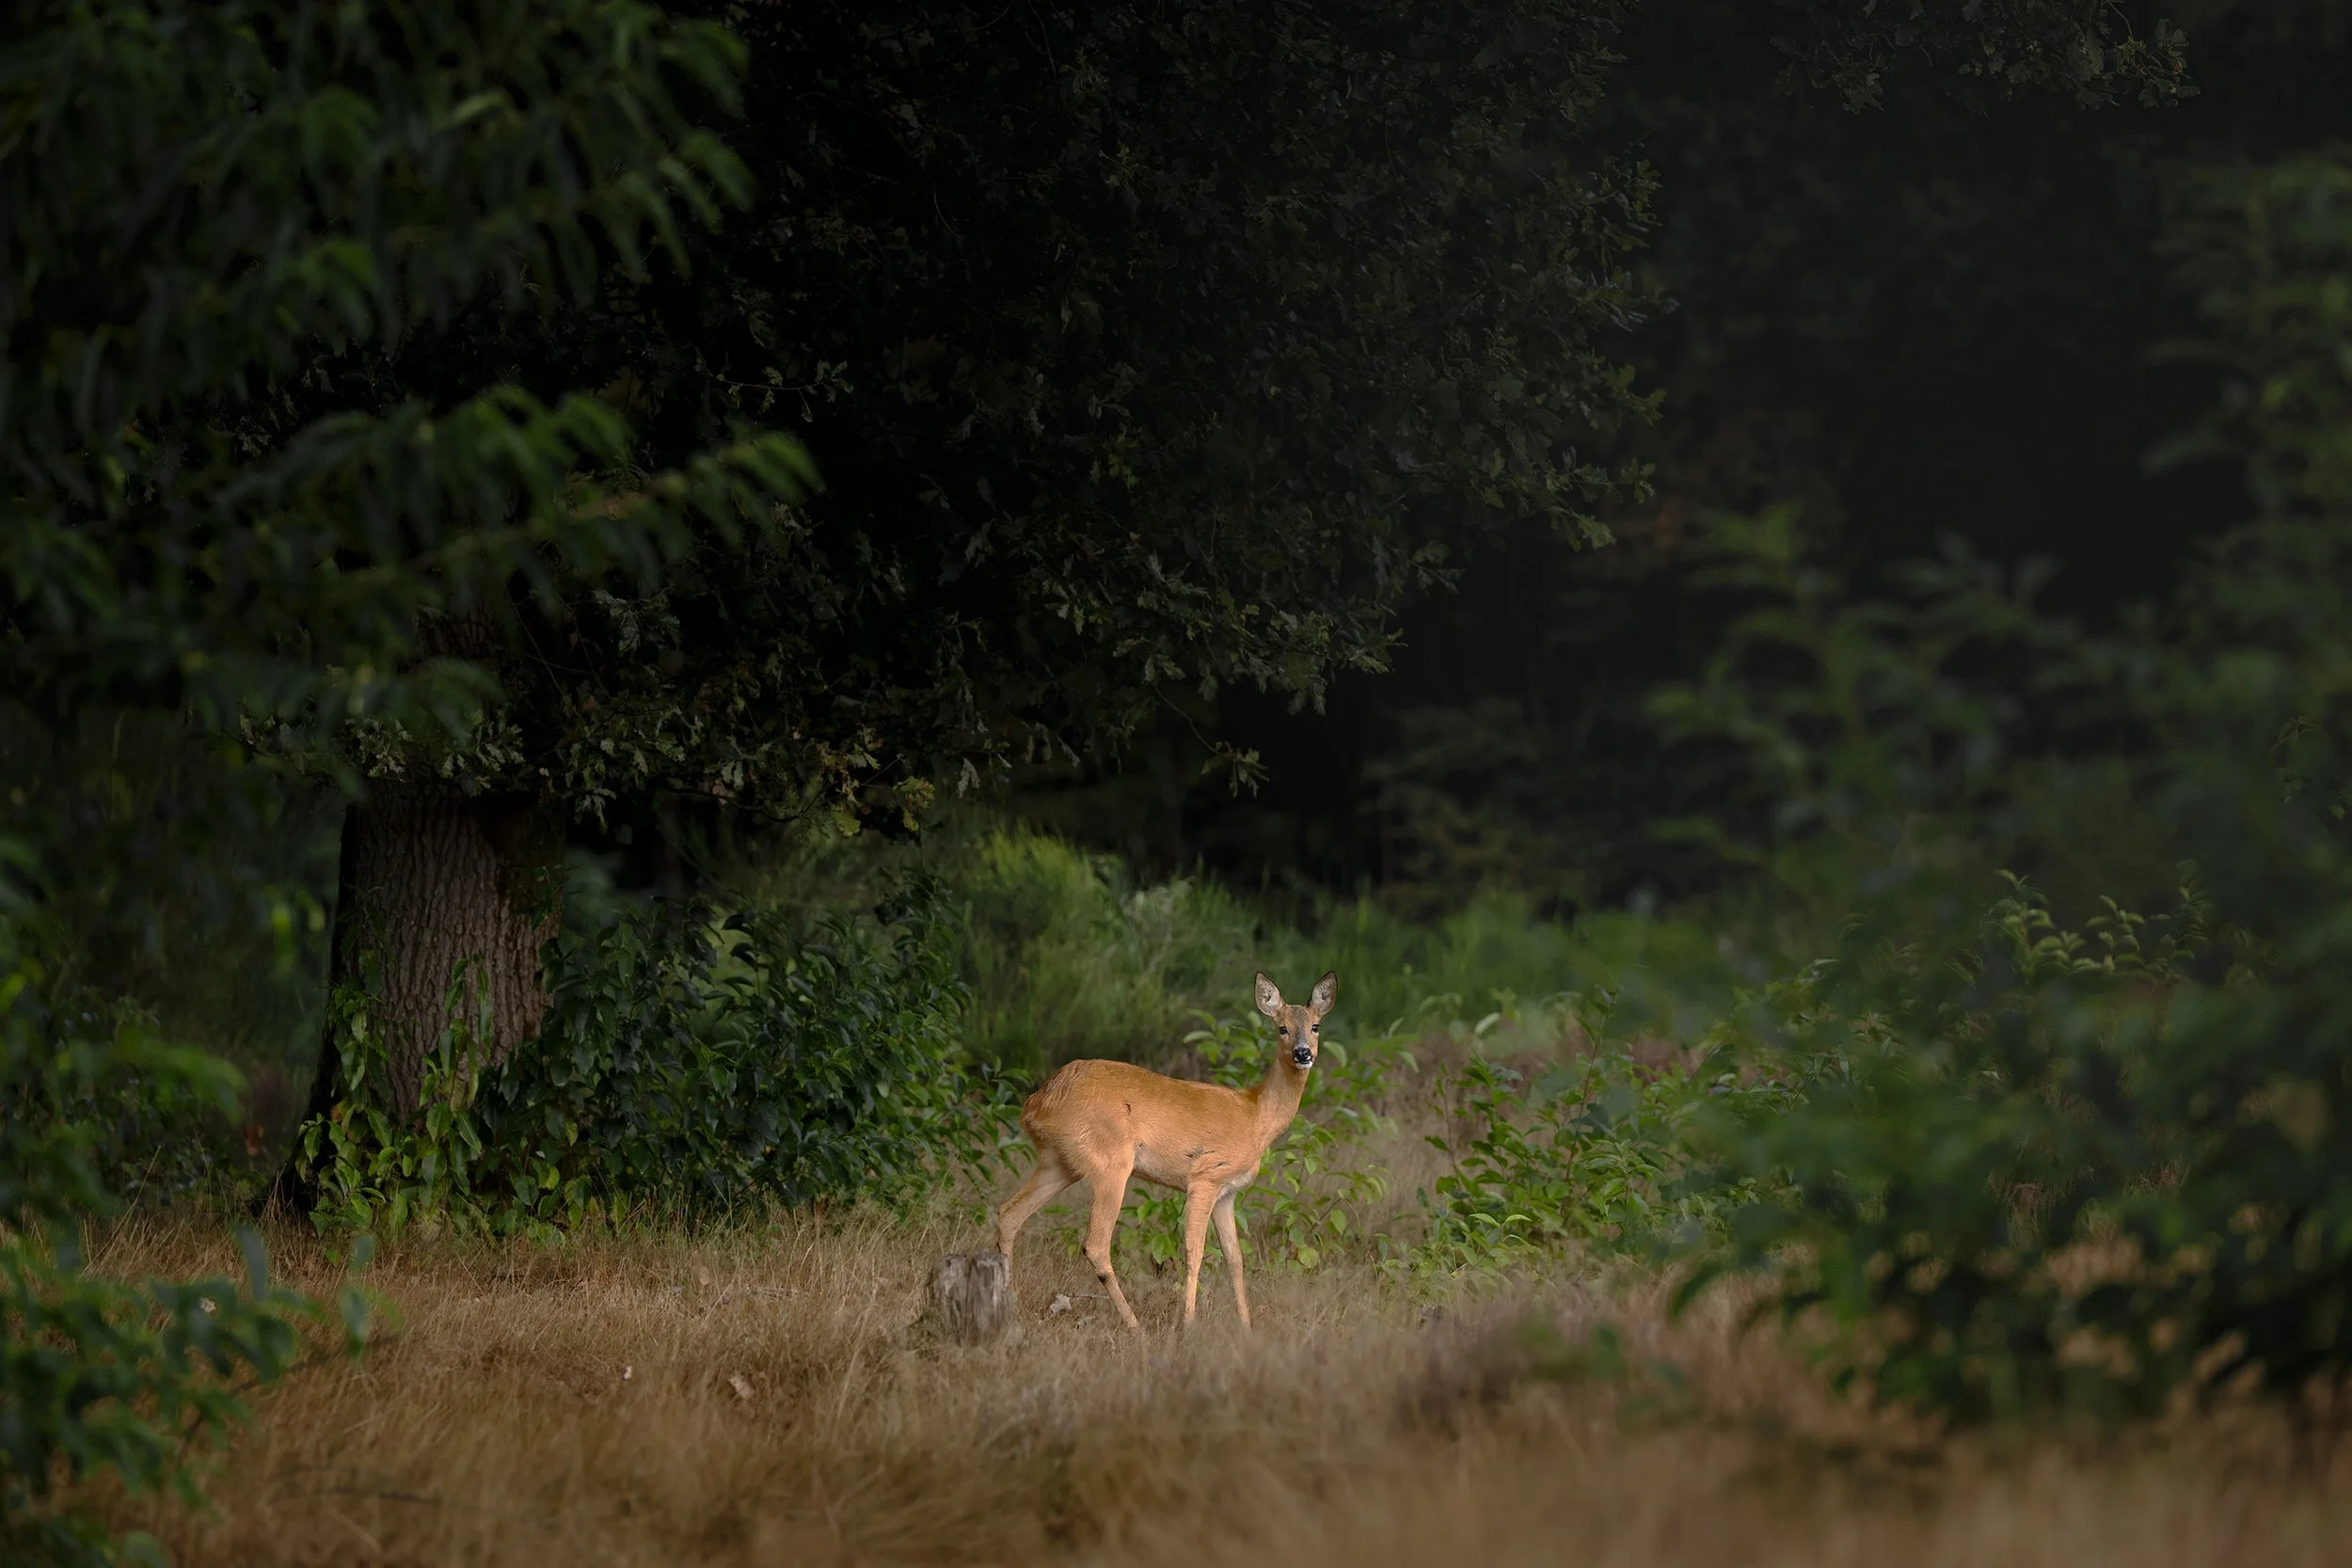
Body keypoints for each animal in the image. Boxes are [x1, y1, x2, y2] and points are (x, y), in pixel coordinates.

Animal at [995, 969, 1336, 1331]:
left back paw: (1009, 1310)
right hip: (1110, 1163)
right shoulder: (1205, 1176)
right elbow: (1195, 1252)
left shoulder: (1227, 1193)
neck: (1255, 1116)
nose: (1303, 1053)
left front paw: (1245, 1327)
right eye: (1281, 1028)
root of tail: (1037, 1103)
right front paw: (1188, 1324)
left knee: (1008, 1215)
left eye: (1315, 1025)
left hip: (1059, 1162)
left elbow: (1235, 1258)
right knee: (1095, 1244)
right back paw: (1135, 1326)